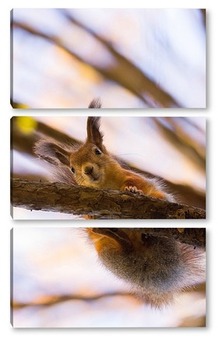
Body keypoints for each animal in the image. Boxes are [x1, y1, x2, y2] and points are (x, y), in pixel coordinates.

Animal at [34, 98, 173, 202]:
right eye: (72, 169)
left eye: (97, 151)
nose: (88, 170)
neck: (107, 183)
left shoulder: (135, 177)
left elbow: (137, 183)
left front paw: (132, 189)